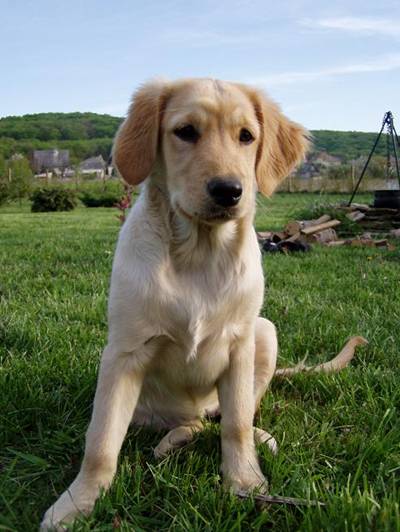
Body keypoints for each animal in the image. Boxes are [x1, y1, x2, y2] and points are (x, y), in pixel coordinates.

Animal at [42, 78, 363, 529]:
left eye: (246, 136)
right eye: (185, 132)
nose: (228, 191)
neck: (199, 253)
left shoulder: (241, 345)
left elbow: (237, 425)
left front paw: (245, 481)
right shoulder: (124, 354)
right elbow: (101, 441)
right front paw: (77, 502)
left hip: (265, 332)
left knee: (230, 416)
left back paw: (252, 438)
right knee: (190, 424)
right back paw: (171, 442)